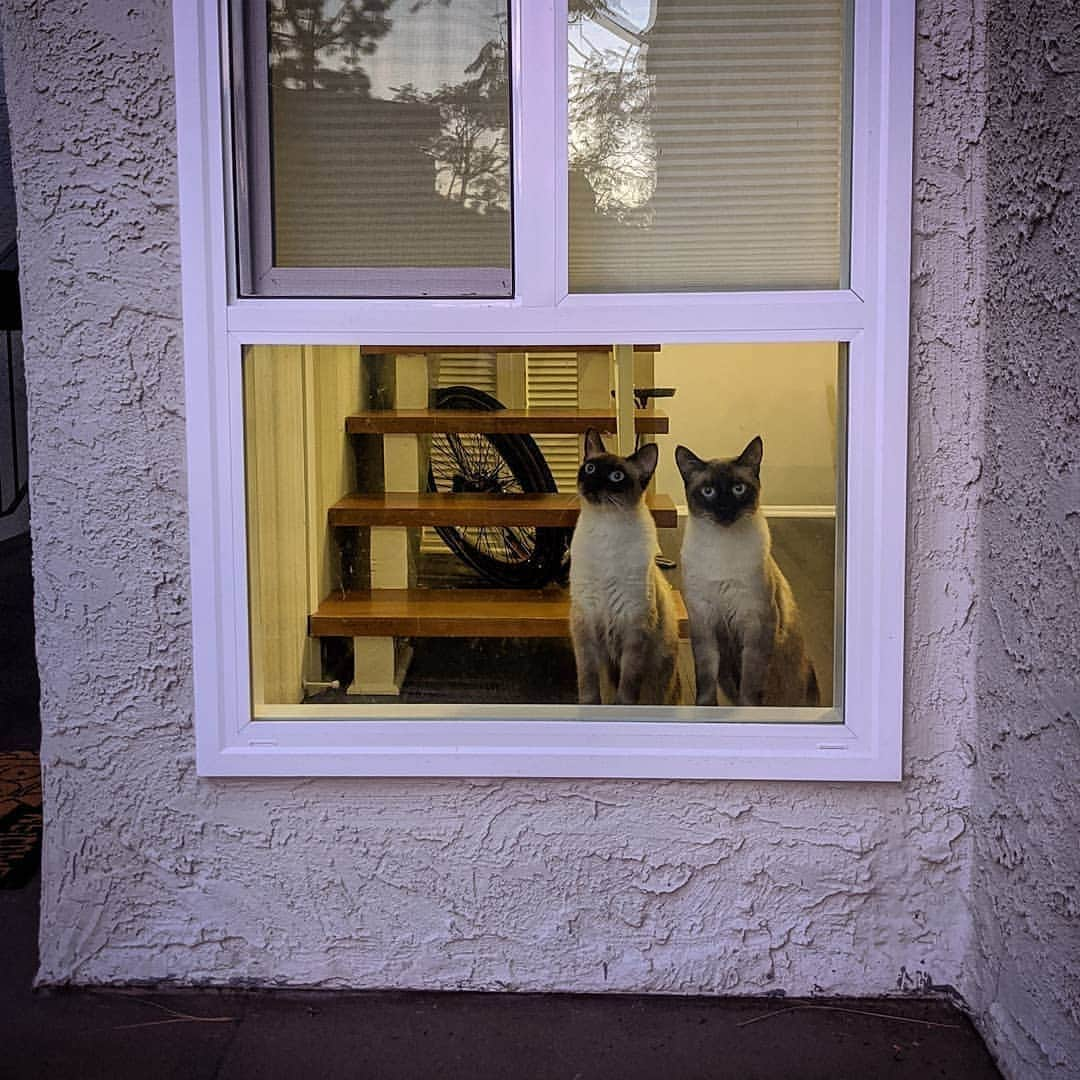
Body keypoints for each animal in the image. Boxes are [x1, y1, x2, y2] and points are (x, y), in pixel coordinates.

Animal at [570, 429, 678, 708]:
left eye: (616, 476)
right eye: (590, 468)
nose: (593, 484)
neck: (606, 531)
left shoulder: (634, 626)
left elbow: (627, 688)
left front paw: (620, 710)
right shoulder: (584, 620)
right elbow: (588, 682)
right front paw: (589, 709)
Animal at [673, 436, 816, 708]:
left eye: (738, 489)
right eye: (708, 491)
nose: (725, 509)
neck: (722, 548)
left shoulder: (756, 624)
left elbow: (750, 686)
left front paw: (747, 711)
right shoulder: (704, 621)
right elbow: (705, 680)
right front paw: (705, 710)